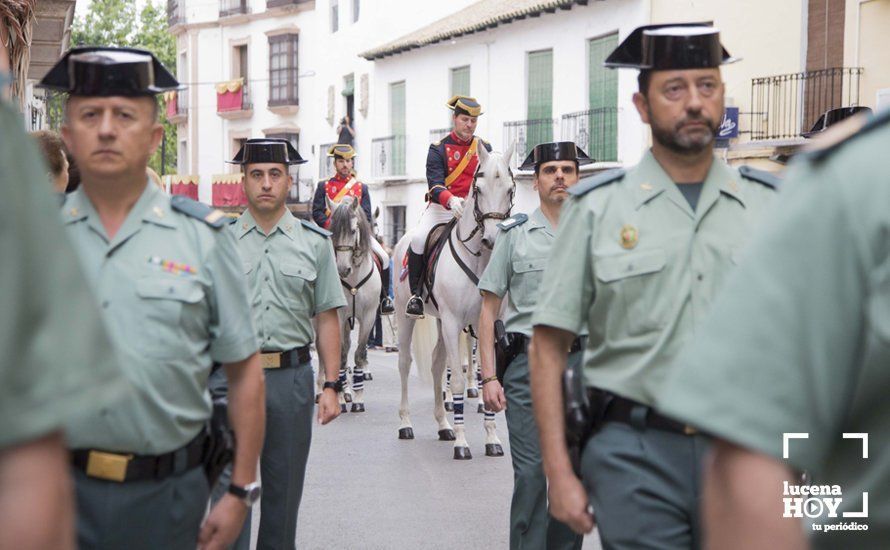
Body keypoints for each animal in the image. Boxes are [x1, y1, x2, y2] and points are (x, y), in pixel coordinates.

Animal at [326, 197, 382, 414]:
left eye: (352, 230)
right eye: (332, 230)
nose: (343, 269)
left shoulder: (368, 316)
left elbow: (359, 354)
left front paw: (358, 398)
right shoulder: (339, 317)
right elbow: (341, 356)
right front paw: (341, 399)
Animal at [392, 144, 510, 460]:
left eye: (509, 189)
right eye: (478, 189)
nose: (492, 239)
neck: (478, 258)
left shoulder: (482, 324)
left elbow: (482, 377)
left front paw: (491, 439)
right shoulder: (454, 321)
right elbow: (456, 379)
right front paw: (462, 443)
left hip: (441, 323)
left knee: (435, 364)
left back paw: (443, 425)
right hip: (406, 317)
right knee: (405, 363)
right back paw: (406, 424)